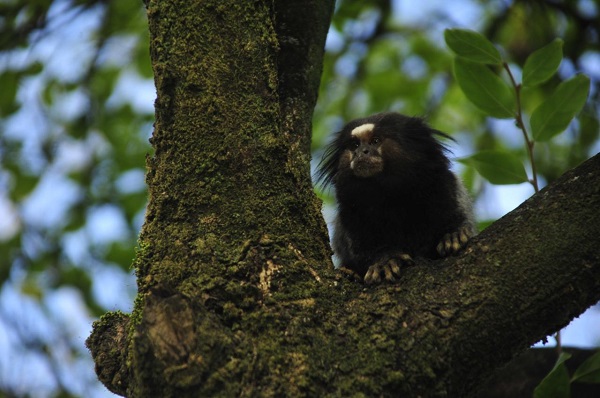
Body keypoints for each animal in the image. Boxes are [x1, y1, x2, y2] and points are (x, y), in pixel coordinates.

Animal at [316, 112, 476, 282]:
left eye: (375, 141)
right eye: (355, 145)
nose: (361, 153)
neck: (392, 194)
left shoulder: (441, 184)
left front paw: (453, 234)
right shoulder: (351, 209)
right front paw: (385, 260)